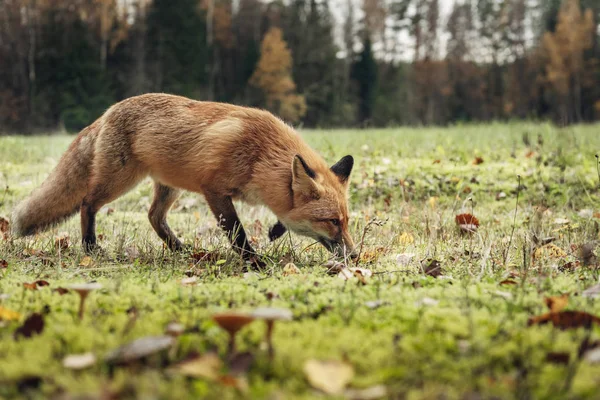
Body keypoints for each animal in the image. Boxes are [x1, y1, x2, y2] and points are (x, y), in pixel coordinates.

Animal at [11, 93, 354, 268]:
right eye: (332, 221)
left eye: (346, 220)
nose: (354, 255)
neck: (260, 154)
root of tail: (108, 110)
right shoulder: (214, 190)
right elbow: (237, 232)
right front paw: (254, 261)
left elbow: (280, 214)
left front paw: (274, 230)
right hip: (121, 180)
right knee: (87, 203)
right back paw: (90, 246)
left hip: (168, 187)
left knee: (153, 216)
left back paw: (178, 248)